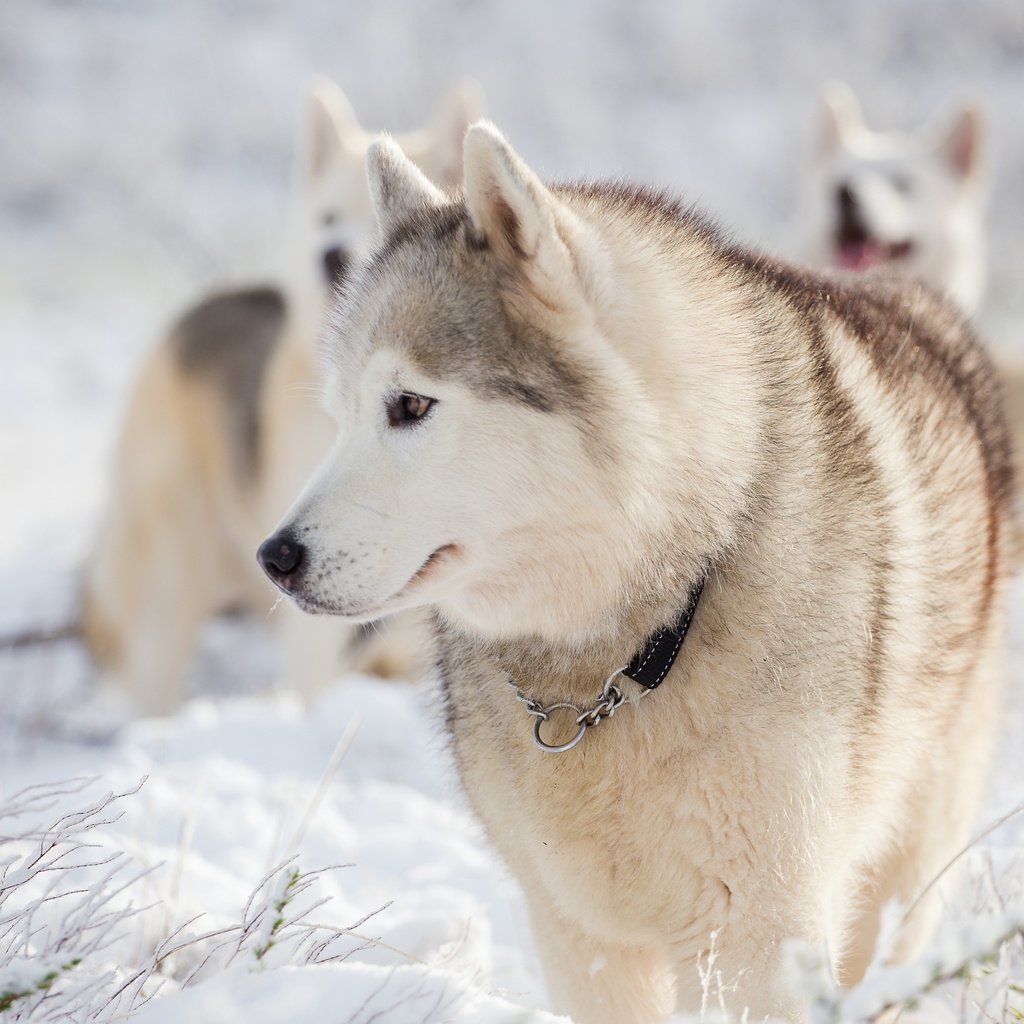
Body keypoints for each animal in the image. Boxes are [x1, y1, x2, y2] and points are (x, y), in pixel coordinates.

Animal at [260, 121, 1011, 1024]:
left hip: (903, 869)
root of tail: (914, 298)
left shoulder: (755, 940)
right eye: (340, 417)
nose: (275, 558)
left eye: (410, 406)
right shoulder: (580, 936)